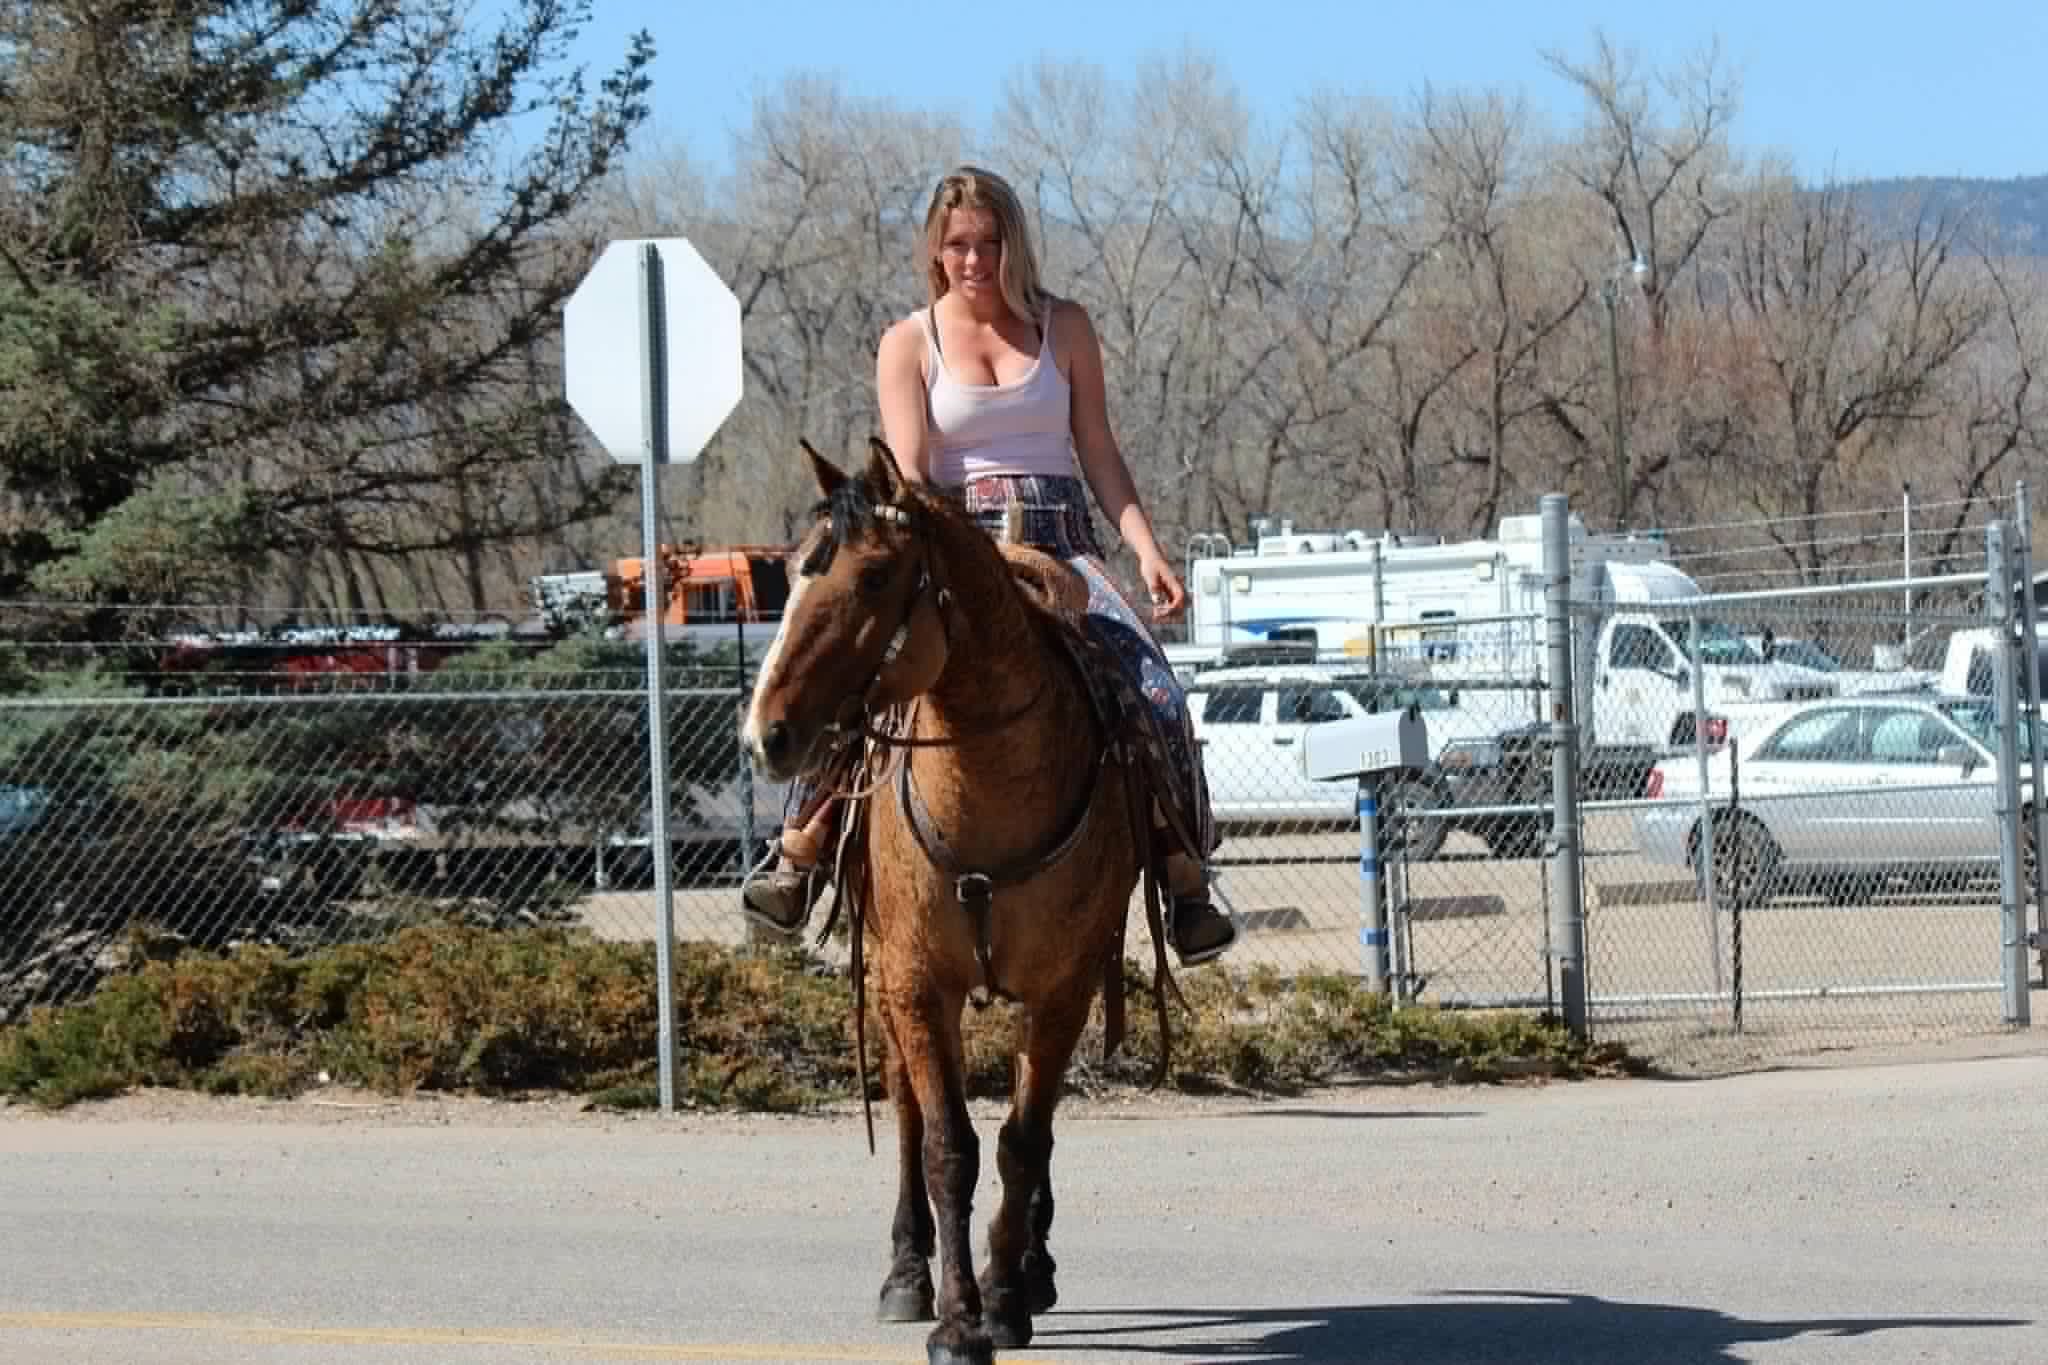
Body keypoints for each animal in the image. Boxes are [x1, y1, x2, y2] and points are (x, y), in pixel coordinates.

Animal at [741, 436, 1186, 1365]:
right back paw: (907, 1273)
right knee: (907, 1113)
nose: (767, 733)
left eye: (876, 575)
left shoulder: (1061, 986)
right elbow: (948, 1144)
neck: (987, 785)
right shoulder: (916, 982)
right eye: (796, 571)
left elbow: (1022, 1140)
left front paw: (1007, 1296)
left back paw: (1033, 1264)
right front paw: (955, 1319)